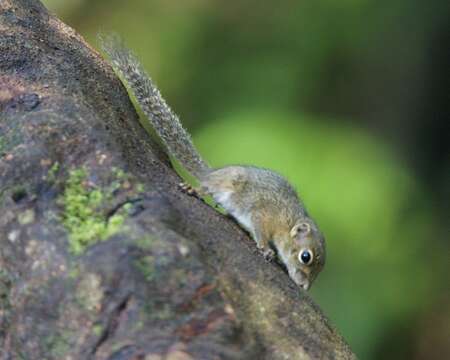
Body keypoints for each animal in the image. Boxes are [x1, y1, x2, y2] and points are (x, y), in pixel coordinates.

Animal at [101, 35, 326, 290]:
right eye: (305, 256)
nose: (304, 287)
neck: (287, 220)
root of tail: (211, 172)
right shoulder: (263, 215)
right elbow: (261, 233)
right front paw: (267, 250)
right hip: (227, 184)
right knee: (207, 187)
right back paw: (196, 189)